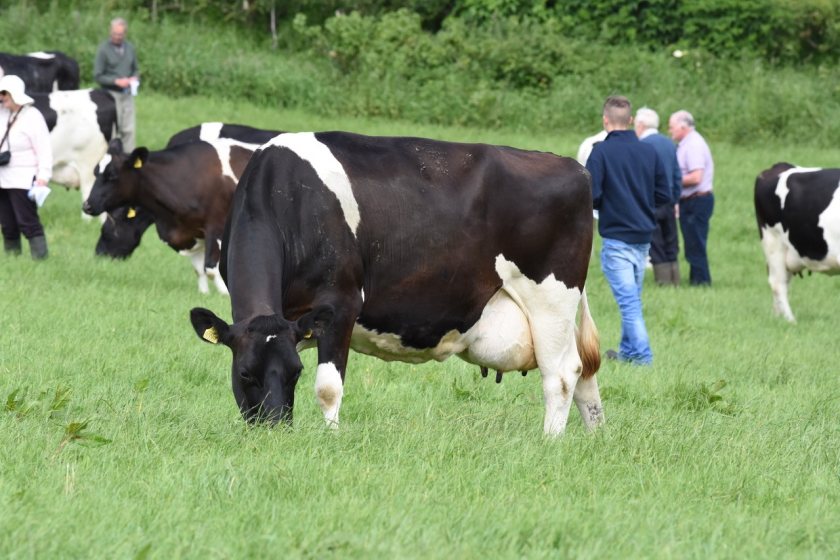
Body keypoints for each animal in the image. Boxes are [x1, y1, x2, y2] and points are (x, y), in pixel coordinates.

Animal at [83, 138, 260, 296]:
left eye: (112, 175)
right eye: (95, 172)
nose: (87, 205)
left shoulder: (216, 227)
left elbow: (211, 267)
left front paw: (224, 294)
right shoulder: (192, 232)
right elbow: (199, 269)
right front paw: (204, 294)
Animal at [189, 132, 604, 438]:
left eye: (295, 373)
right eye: (245, 373)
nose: (274, 430)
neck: (286, 195)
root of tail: (574, 168)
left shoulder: (340, 304)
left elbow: (328, 387)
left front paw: (331, 439)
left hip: (551, 299)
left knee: (561, 375)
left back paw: (551, 441)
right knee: (584, 372)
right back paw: (595, 438)